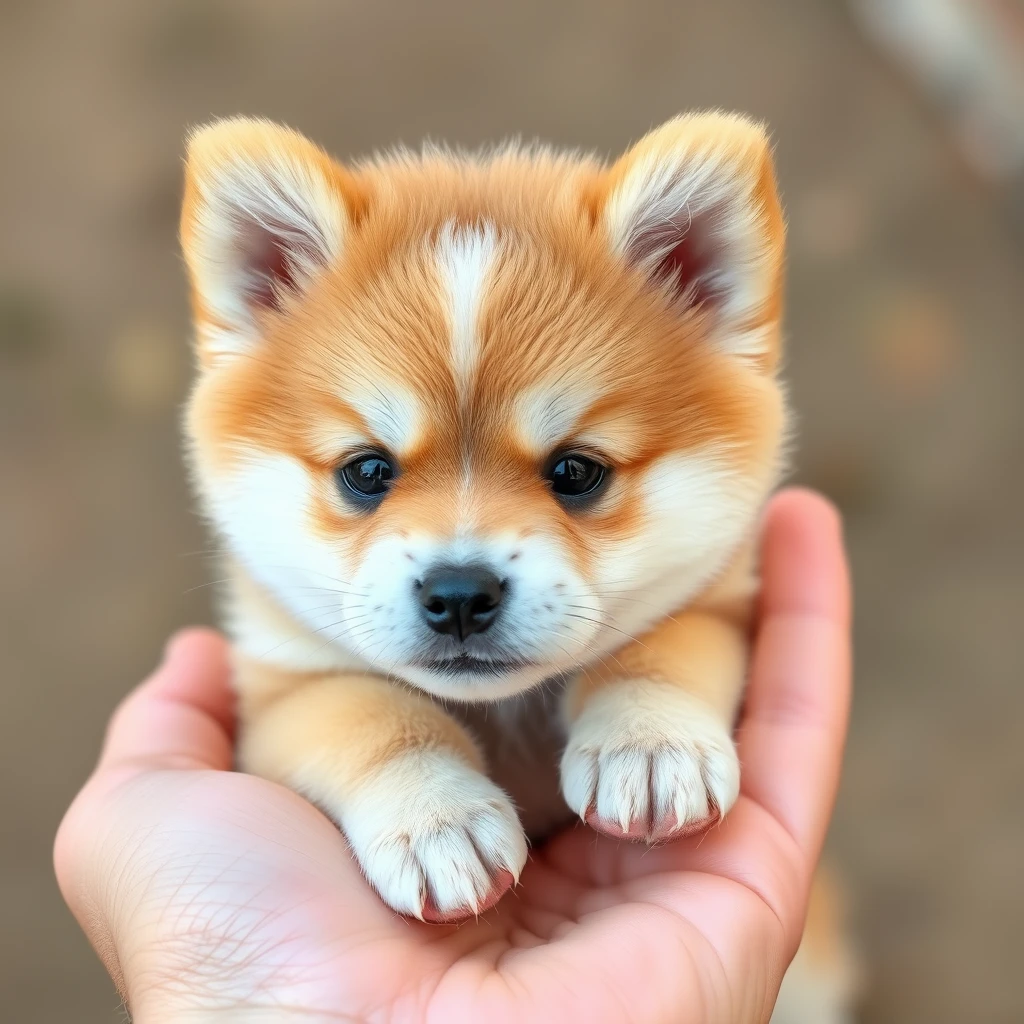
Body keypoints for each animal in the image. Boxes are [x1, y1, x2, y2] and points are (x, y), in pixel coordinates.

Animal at [184, 114, 786, 921]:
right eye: (366, 471)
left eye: (575, 472)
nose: (460, 594)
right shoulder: (280, 692)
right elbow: (368, 712)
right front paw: (436, 816)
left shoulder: (717, 603)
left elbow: (664, 646)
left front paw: (650, 740)